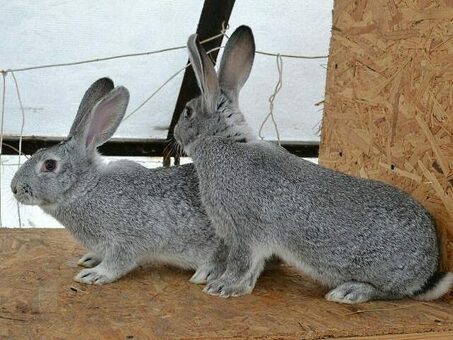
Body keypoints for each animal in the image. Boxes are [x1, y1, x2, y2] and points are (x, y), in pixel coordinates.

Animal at [11, 78, 221, 286]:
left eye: (49, 165)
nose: (14, 188)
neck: (87, 189)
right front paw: (90, 258)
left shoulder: (131, 240)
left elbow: (118, 262)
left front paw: (94, 274)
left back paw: (205, 274)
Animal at [171, 26, 450, 302]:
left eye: (188, 111)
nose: (174, 132)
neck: (224, 140)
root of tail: (428, 267)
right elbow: (251, 269)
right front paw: (231, 285)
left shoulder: (244, 232)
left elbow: (242, 263)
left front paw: (221, 287)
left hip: (384, 274)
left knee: (389, 292)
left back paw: (349, 291)